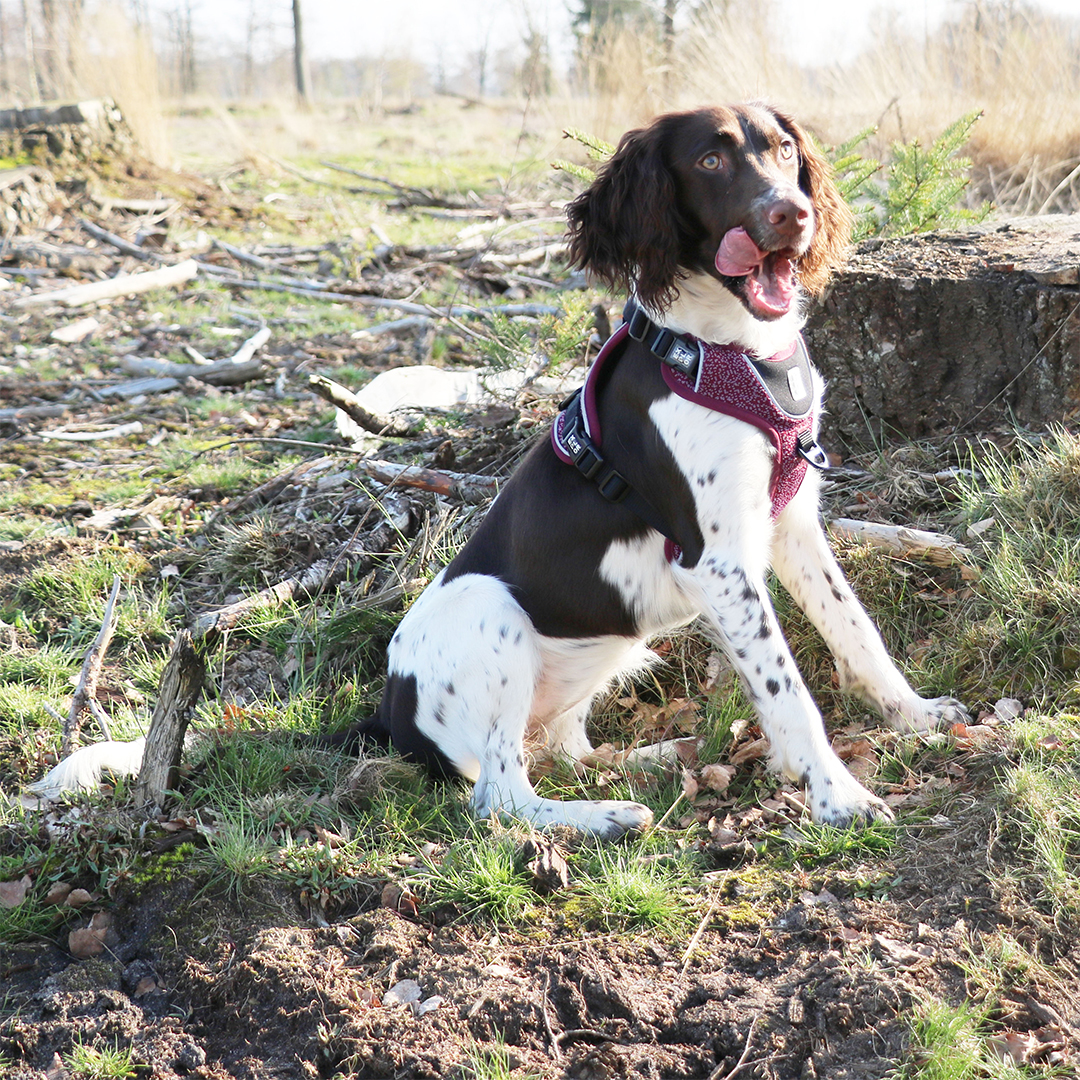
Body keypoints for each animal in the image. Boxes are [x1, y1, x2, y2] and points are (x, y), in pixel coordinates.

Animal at [339, 105, 972, 838]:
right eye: (709, 162)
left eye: (786, 150)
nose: (793, 213)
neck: (727, 354)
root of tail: (390, 715)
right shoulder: (716, 563)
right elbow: (787, 686)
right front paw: (837, 796)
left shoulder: (792, 529)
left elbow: (856, 630)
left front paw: (913, 715)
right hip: (490, 608)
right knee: (501, 794)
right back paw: (609, 816)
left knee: (568, 749)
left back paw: (664, 755)